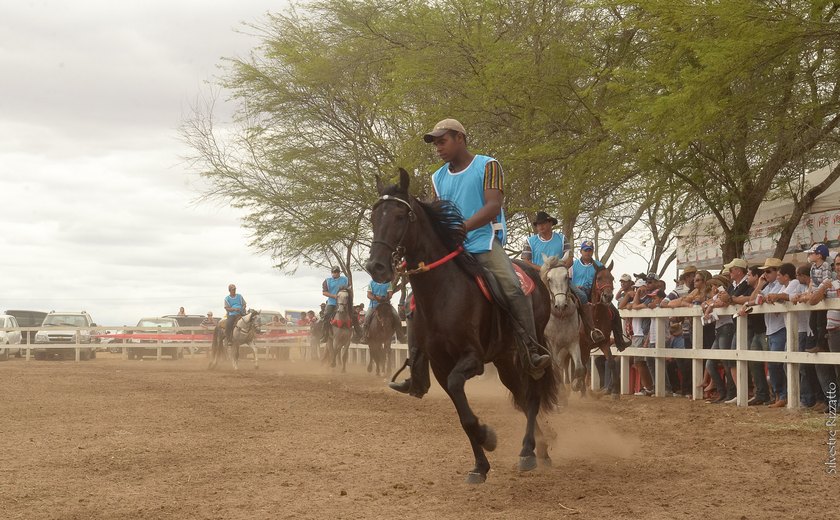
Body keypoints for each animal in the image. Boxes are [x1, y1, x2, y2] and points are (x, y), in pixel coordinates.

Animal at [366, 170, 556, 484]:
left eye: (400, 216)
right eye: (373, 217)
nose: (376, 267)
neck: (444, 291)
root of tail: (535, 272)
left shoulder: (472, 359)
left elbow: (461, 392)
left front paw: (488, 438)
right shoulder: (440, 366)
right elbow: (462, 416)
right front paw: (480, 464)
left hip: (530, 353)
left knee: (532, 395)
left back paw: (528, 451)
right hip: (504, 360)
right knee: (520, 395)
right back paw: (540, 449)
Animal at [540, 253, 584, 394]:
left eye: (566, 277)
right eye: (549, 279)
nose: (560, 305)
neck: (561, 317)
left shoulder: (573, 342)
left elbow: (579, 367)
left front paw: (576, 385)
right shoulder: (551, 345)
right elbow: (555, 368)